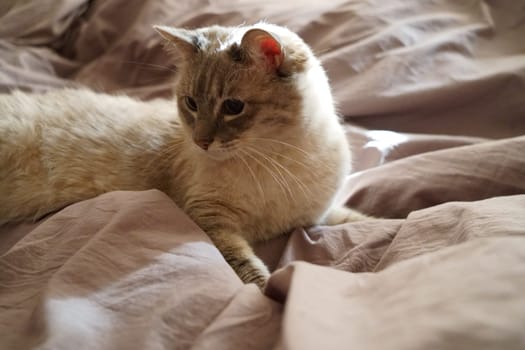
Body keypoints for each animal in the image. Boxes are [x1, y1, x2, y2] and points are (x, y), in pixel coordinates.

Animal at [0, 23, 366, 288]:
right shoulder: (211, 219)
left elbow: (360, 220)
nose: (201, 141)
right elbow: (248, 269)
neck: (277, 158)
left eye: (233, 107)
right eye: (190, 103)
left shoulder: (316, 217)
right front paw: (270, 290)